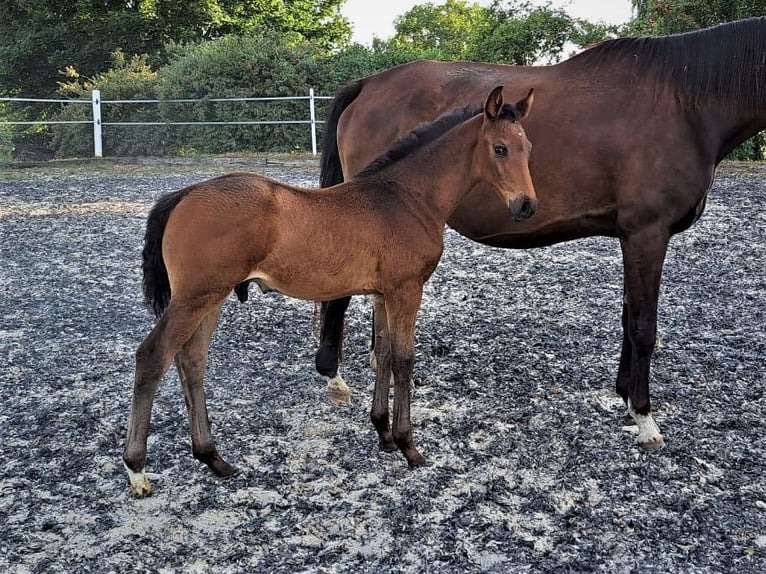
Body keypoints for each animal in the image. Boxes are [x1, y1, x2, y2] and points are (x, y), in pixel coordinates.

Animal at [123, 86, 536, 500]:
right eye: (500, 148)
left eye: (528, 147)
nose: (527, 206)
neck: (407, 197)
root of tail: (185, 193)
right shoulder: (406, 290)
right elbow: (403, 360)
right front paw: (409, 446)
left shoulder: (383, 294)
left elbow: (384, 353)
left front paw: (383, 433)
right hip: (195, 297)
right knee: (153, 356)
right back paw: (137, 469)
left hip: (211, 298)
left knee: (192, 360)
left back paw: (213, 458)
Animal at [314, 16, 766, 450]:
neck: (683, 103)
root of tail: (368, 85)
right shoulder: (647, 234)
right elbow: (643, 328)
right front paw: (644, 417)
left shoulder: (632, 237)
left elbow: (628, 316)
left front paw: (624, 396)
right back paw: (335, 377)